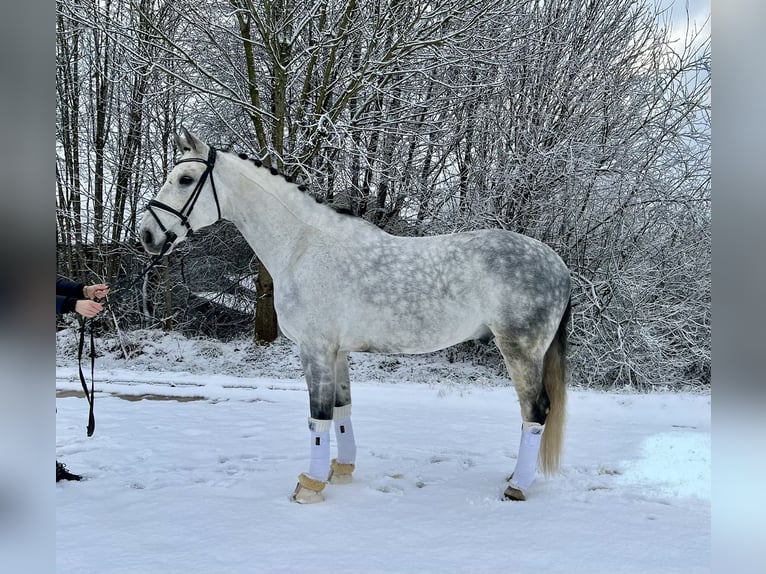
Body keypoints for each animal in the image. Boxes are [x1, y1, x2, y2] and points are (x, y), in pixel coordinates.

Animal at [139, 128, 572, 503]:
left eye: (185, 178)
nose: (147, 236)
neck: (302, 246)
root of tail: (559, 265)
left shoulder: (314, 349)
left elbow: (317, 417)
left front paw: (310, 486)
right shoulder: (338, 351)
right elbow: (341, 409)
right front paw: (341, 470)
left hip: (520, 351)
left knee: (535, 411)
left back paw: (517, 486)